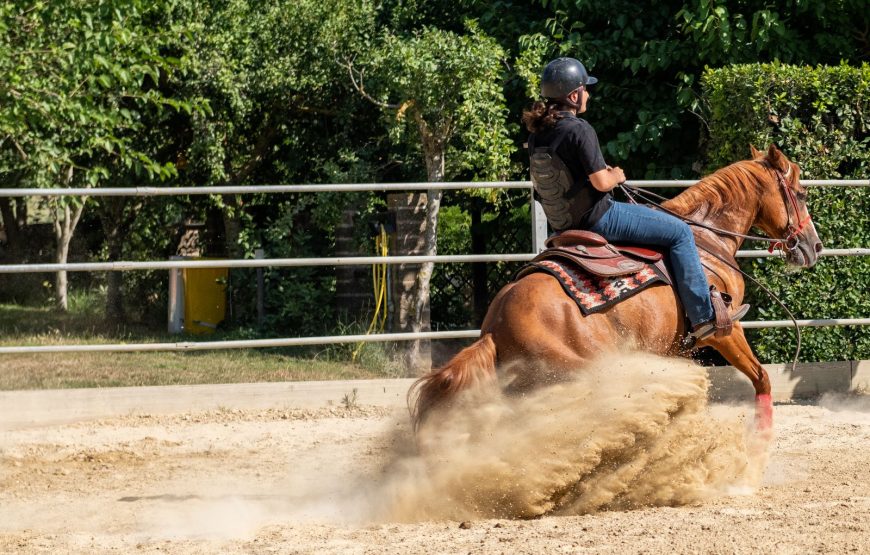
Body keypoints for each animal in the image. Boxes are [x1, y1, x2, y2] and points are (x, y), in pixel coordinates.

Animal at [408, 146, 824, 436]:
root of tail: (495, 326)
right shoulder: (724, 330)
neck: (706, 239)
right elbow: (761, 377)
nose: (814, 245)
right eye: (801, 194)